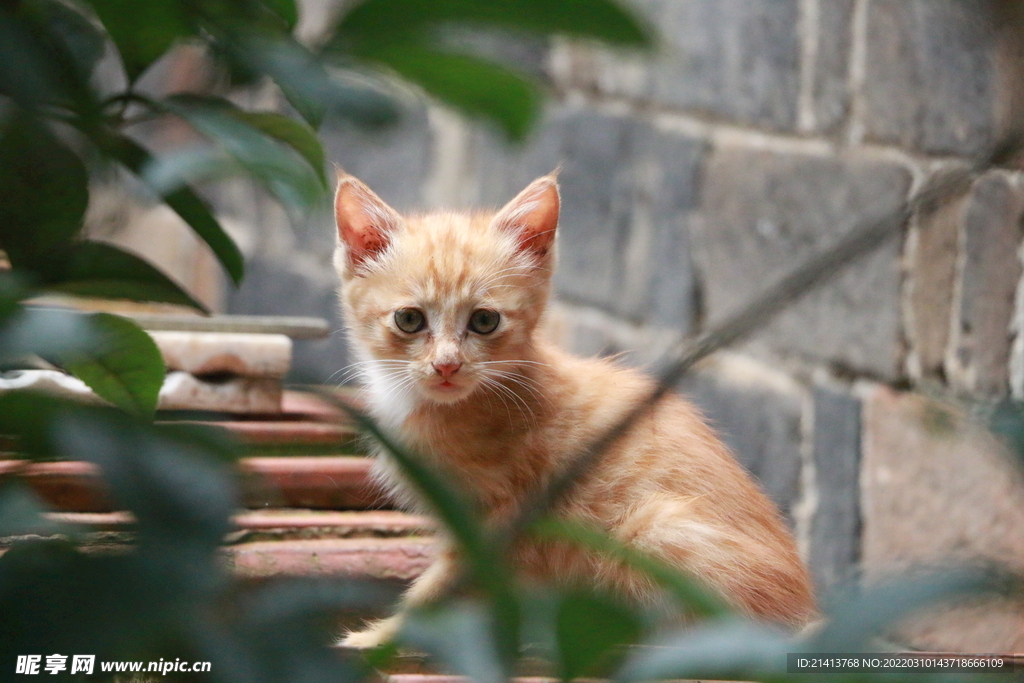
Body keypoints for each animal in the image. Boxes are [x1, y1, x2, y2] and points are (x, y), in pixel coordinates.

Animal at [335, 171, 815, 647]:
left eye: (485, 321)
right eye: (409, 320)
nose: (447, 365)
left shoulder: (507, 517)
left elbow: (449, 586)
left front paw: (380, 638)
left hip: (651, 527)